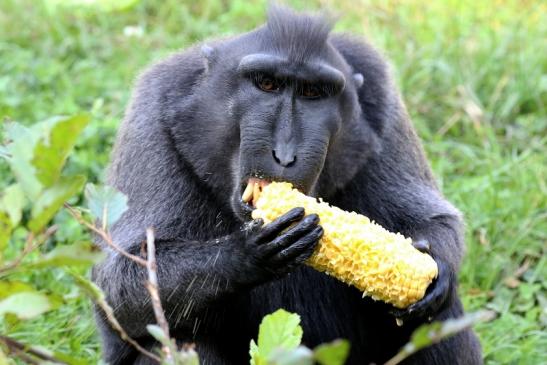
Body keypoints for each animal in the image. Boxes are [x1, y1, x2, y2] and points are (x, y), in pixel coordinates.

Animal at [92, 5, 482, 364]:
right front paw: (246, 253)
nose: (284, 154)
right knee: (184, 338)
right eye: (267, 84)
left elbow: (434, 219)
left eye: (313, 92)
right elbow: (120, 286)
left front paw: (436, 271)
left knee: (439, 315)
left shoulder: (383, 101)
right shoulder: (153, 113)